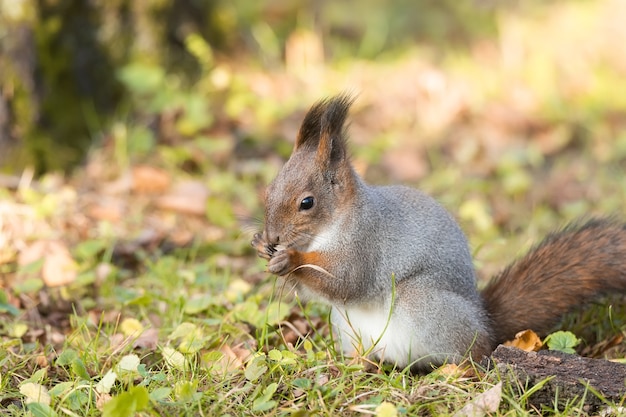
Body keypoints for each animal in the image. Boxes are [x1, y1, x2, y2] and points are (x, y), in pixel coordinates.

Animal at [251, 94, 624, 370]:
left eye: (307, 203)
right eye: (268, 189)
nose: (273, 238)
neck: (334, 224)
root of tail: (484, 322)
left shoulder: (365, 245)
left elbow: (346, 282)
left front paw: (290, 258)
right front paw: (260, 248)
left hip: (423, 305)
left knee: (472, 354)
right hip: (347, 325)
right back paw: (357, 363)